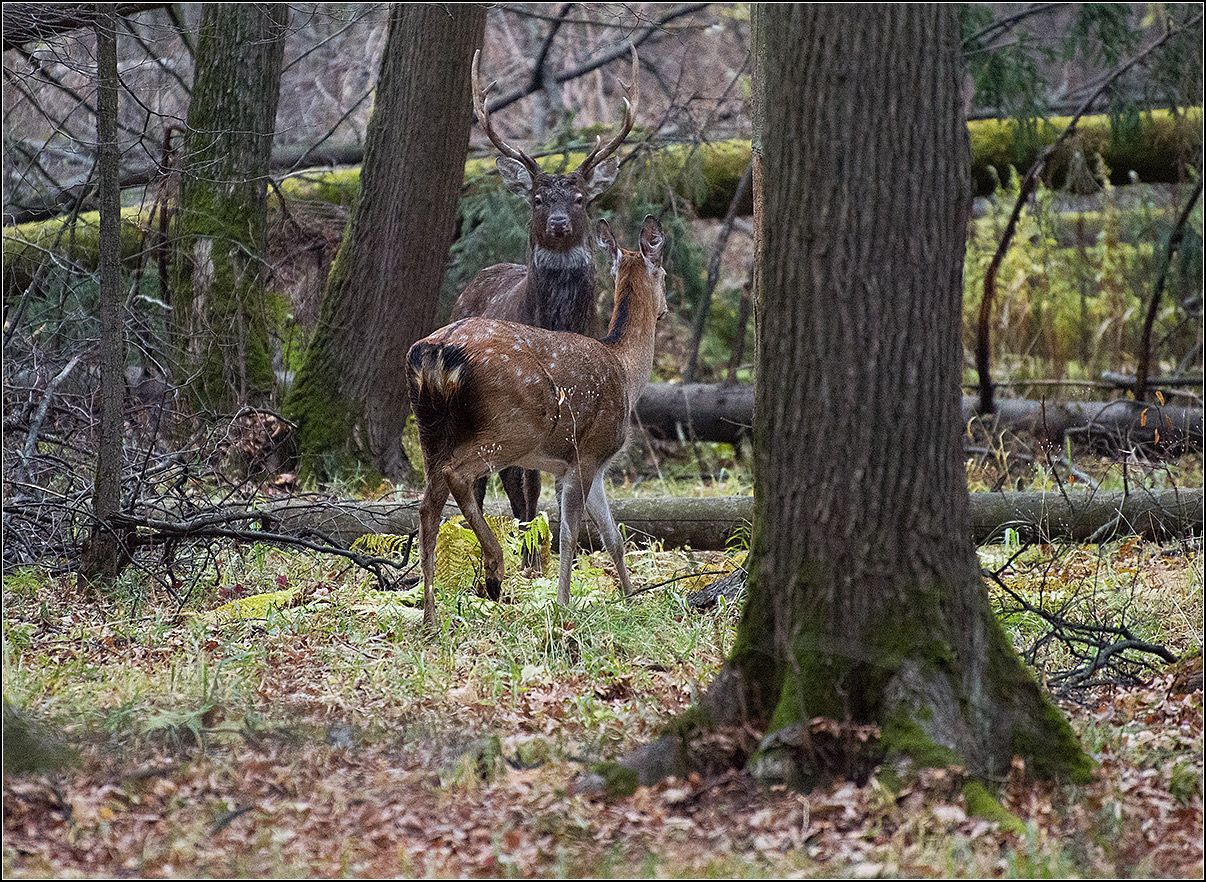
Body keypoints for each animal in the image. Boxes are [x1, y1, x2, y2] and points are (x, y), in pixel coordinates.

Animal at [407, 217, 670, 632]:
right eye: (664, 273)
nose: (665, 308)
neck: (627, 372)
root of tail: (436, 351)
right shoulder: (587, 453)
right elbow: (570, 535)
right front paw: (563, 604)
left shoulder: (589, 464)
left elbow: (613, 536)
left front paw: (631, 599)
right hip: (516, 427)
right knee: (458, 475)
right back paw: (495, 569)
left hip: (428, 427)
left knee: (427, 508)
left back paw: (431, 616)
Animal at [453, 48, 641, 547]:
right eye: (538, 198)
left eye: (580, 199)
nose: (557, 223)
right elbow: (530, 485)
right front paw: (534, 555)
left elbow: (561, 491)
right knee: (489, 481)